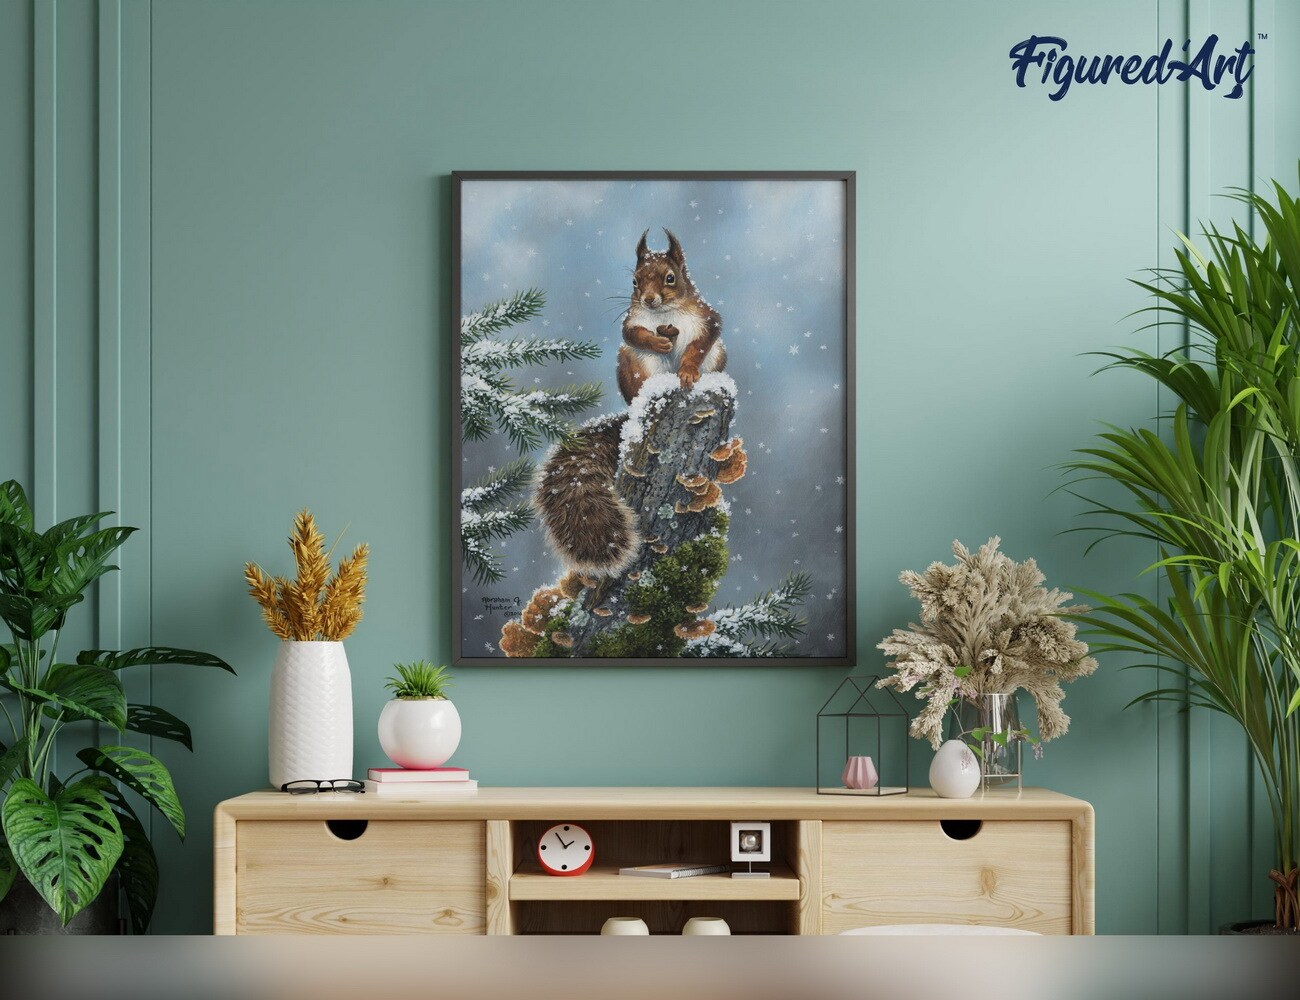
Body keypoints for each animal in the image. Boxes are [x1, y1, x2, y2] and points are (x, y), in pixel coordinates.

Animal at [534, 229, 726, 579]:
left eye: (670, 278)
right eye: (635, 281)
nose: (648, 299)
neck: (666, 315)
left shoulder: (707, 318)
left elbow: (700, 343)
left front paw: (688, 370)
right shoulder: (632, 321)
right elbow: (633, 334)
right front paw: (658, 340)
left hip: (717, 359)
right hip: (632, 365)